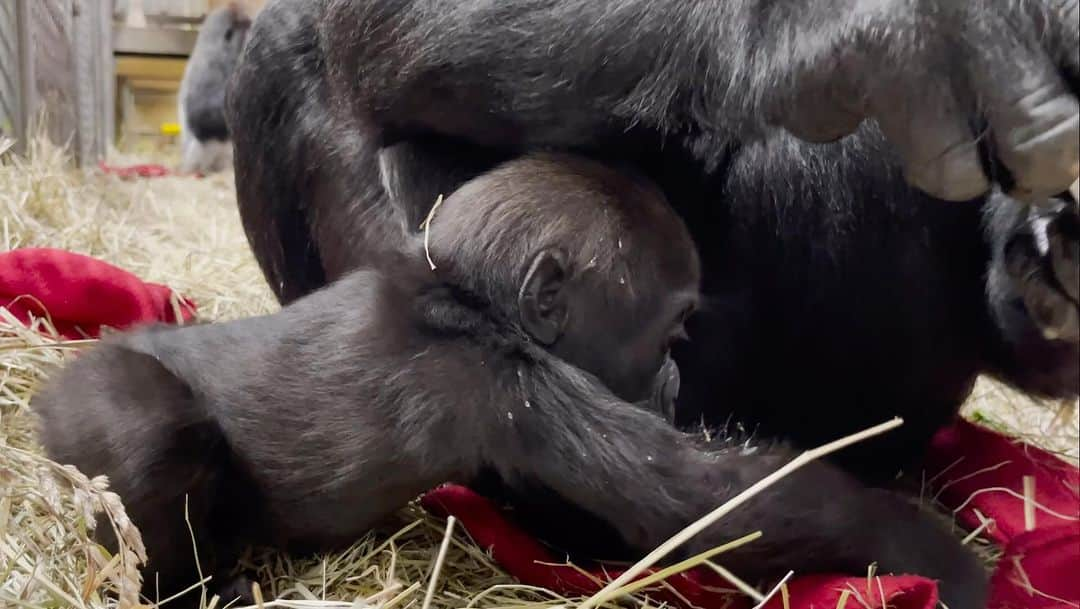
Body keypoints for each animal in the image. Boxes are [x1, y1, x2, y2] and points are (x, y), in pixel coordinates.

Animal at [31, 154, 989, 604]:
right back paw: (184, 586)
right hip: (86, 411)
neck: (464, 288)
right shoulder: (512, 384)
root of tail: (40, 394)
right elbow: (699, 500)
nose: (674, 377)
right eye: (668, 330)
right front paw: (927, 549)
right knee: (152, 434)